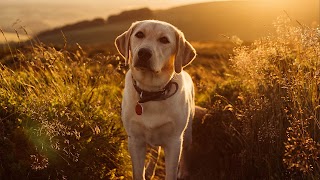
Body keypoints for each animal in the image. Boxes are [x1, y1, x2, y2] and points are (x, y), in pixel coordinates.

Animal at [115, 20, 195, 180]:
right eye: (139, 34)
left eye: (164, 40)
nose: (144, 53)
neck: (151, 92)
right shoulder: (135, 140)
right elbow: (138, 173)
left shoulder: (174, 141)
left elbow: (171, 173)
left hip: (187, 133)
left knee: (185, 152)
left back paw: (183, 171)